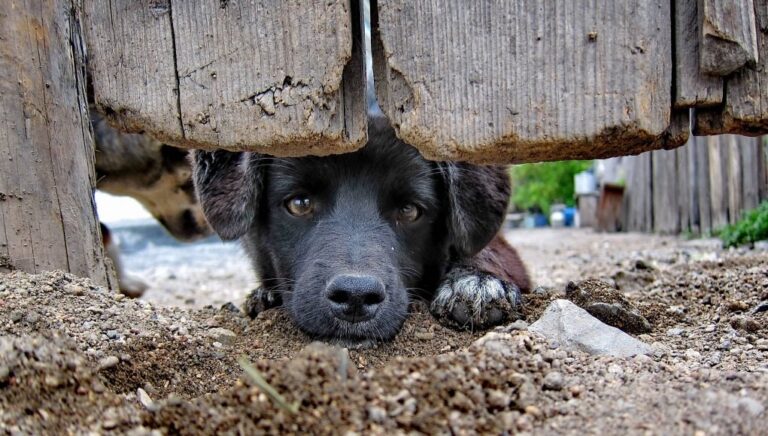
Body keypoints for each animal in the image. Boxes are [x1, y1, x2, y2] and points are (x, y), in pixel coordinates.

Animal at [192, 117, 528, 342]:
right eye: (299, 203)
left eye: (409, 210)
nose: (355, 297)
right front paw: (264, 295)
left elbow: (486, 252)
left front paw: (475, 282)